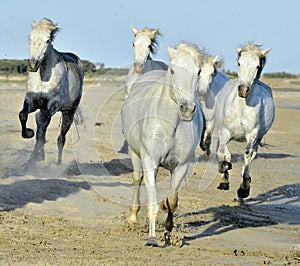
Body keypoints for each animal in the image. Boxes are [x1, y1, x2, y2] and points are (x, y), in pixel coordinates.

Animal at [18, 18, 84, 164]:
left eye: (48, 40)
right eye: (29, 37)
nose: (33, 64)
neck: (43, 77)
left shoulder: (52, 106)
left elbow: (43, 130)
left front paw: (31, 161)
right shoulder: (31, 102)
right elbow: (23, 115)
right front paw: (29, 133)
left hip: (68, 113)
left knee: (61, 138)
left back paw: (58, 164)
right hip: (42, 110)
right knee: (41, 129)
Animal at [122, 42, 204, 246]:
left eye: (198, 72)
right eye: (173, 70)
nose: (187, 109)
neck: (169, 125)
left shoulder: (181, 166)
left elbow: (172, 201)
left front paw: (168, 229)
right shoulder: (150, 162)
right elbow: (152, 202)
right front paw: (152, 238)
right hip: (135, 154)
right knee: (137, 179)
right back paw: (132, 218)